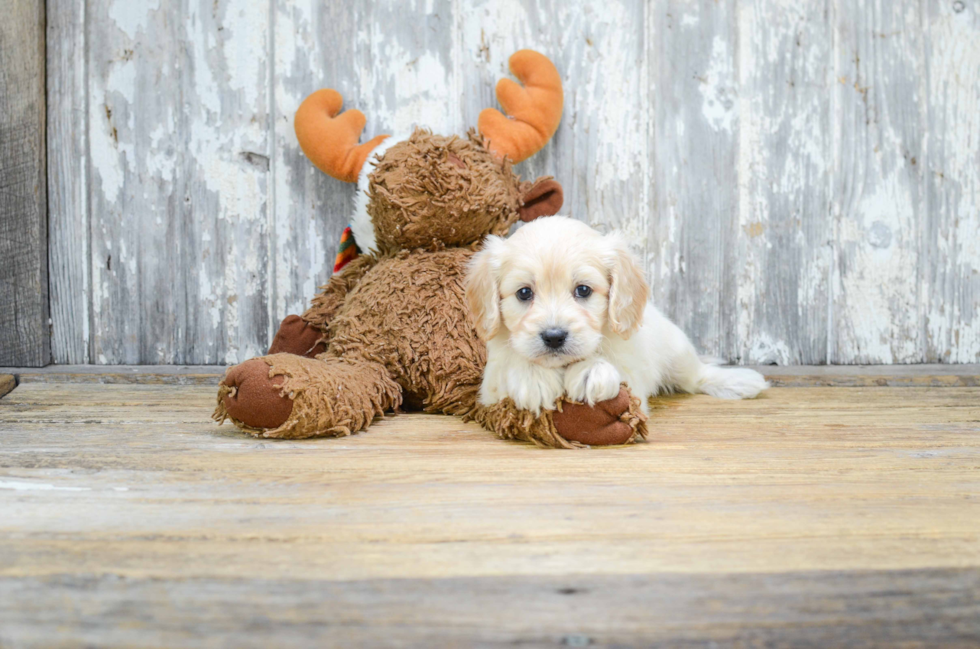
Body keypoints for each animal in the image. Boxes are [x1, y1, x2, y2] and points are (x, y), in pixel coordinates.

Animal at [464, 215, 768, 412]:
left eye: (583, 290)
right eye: (524, 293)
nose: (554, 336)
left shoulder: (633, 377)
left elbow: (611, 365)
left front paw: (591, 370)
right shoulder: (489, 389)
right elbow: (513, 362)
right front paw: (533, 377)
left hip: (677, 351)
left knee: (697, 377)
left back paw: (740, 381)